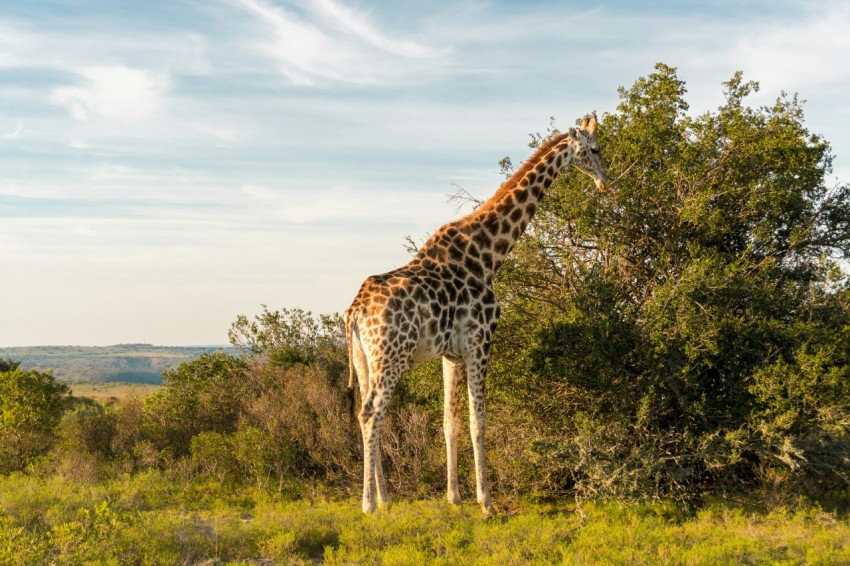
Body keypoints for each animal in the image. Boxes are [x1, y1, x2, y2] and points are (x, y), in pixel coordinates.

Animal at [346, 113, 608, 516]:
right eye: (593, 149)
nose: (605, 183)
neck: (488, 255)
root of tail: (355, 312)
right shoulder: (480, 341)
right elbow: (479, 422)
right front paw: (486, 501)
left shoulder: (451, 353)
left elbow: (449, 422)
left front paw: (454, 497)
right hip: (391, 355)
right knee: (371, 412)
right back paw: (369, 505)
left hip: (365, 360)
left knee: (366, 412)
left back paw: (385, 498)